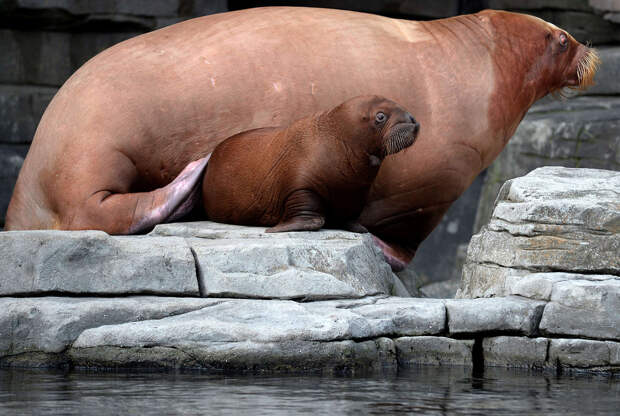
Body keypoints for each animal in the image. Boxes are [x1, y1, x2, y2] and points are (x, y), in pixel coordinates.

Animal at [203, 96, 422, 234]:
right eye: (381, 116)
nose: (413, 120)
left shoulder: (356, 194)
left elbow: (351, 215)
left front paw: (359, 228)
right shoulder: (300, 185)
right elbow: (310, 212)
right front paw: (276, 228)